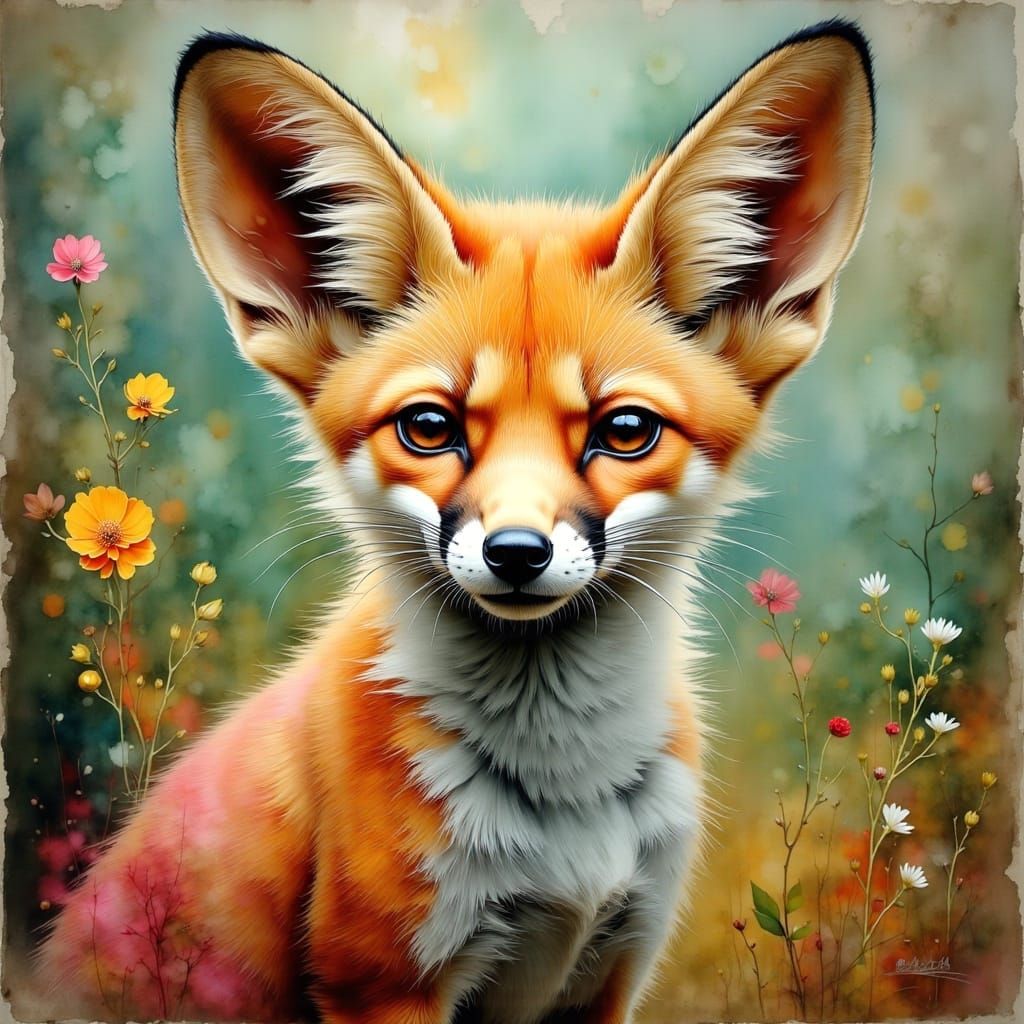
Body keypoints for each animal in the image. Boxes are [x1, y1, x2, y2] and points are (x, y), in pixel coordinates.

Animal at [36, 20, 873, 1024]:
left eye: (625, 431)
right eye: (430, 428)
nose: (516, 552)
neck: (563, 804)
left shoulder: (611, 971)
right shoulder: (383, 979)